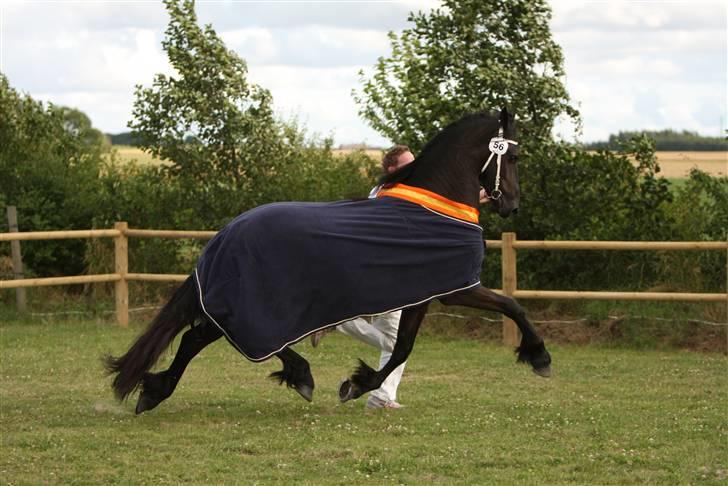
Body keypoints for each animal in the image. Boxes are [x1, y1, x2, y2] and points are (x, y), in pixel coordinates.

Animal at [105, 108, 552, 412]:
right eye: (513, 158)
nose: (512, 205)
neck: (436, 208)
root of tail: (226, 234)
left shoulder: (421, 297)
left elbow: (402, 348)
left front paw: (358, 385)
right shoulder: (455, 289)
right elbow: (511, 307)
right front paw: (540, 357)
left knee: (195, 338)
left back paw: (154, 392)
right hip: (257, 307)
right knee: (243, 339)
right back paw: (299, 374)